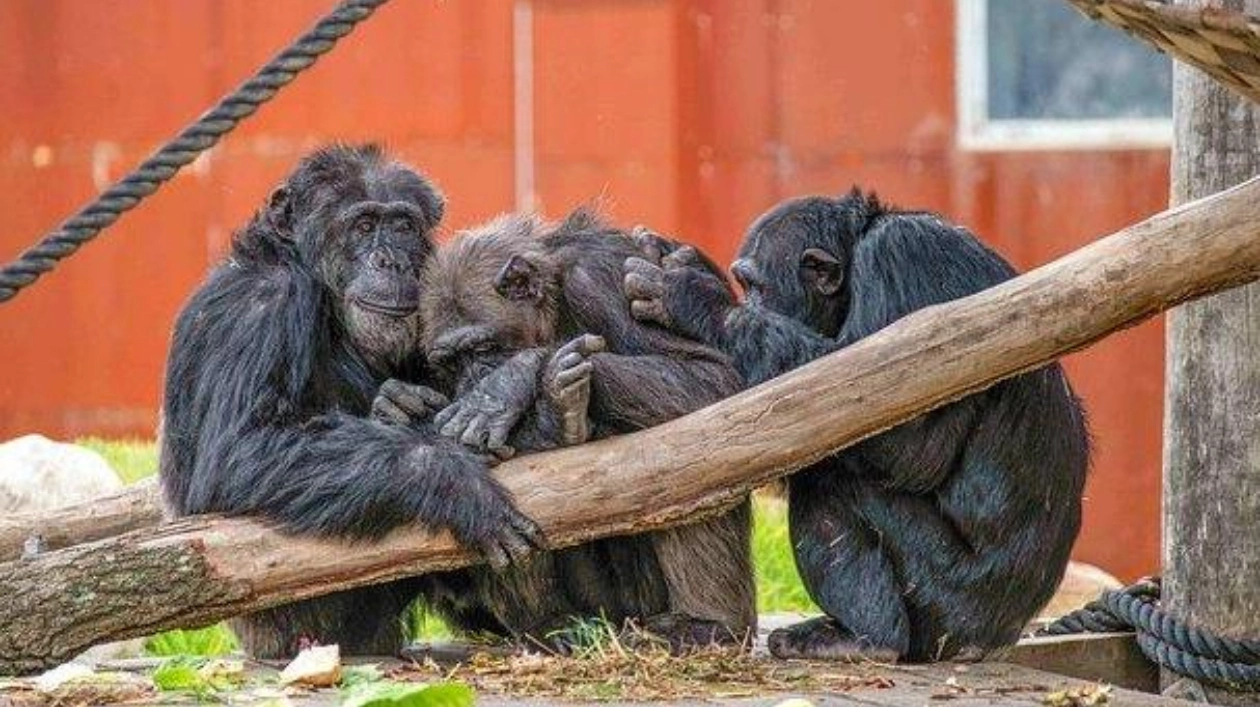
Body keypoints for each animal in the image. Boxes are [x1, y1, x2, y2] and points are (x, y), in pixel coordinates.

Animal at [158, 144, 541, 660]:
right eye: (362, 225)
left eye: (402, 225)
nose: (391, 261)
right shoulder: (258, 308)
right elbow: (240, 452)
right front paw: (453, 481)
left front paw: (398, 404)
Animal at [367, 207, 750, 650]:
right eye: (450, 362)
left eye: (482, 349)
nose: (471, 379)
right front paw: (400, 408)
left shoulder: (601, 278)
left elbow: (710, 377)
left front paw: (514, 379)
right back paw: (548, 623)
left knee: (686, 454)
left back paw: (708, 622)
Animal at [624, 189, 1088, 660]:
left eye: (754, 286)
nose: (747, 301)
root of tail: (997, 640)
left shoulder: (902, 259)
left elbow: (907, 441)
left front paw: (693, 296)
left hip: (948, 606)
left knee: (835, 487)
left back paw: (865, 637)